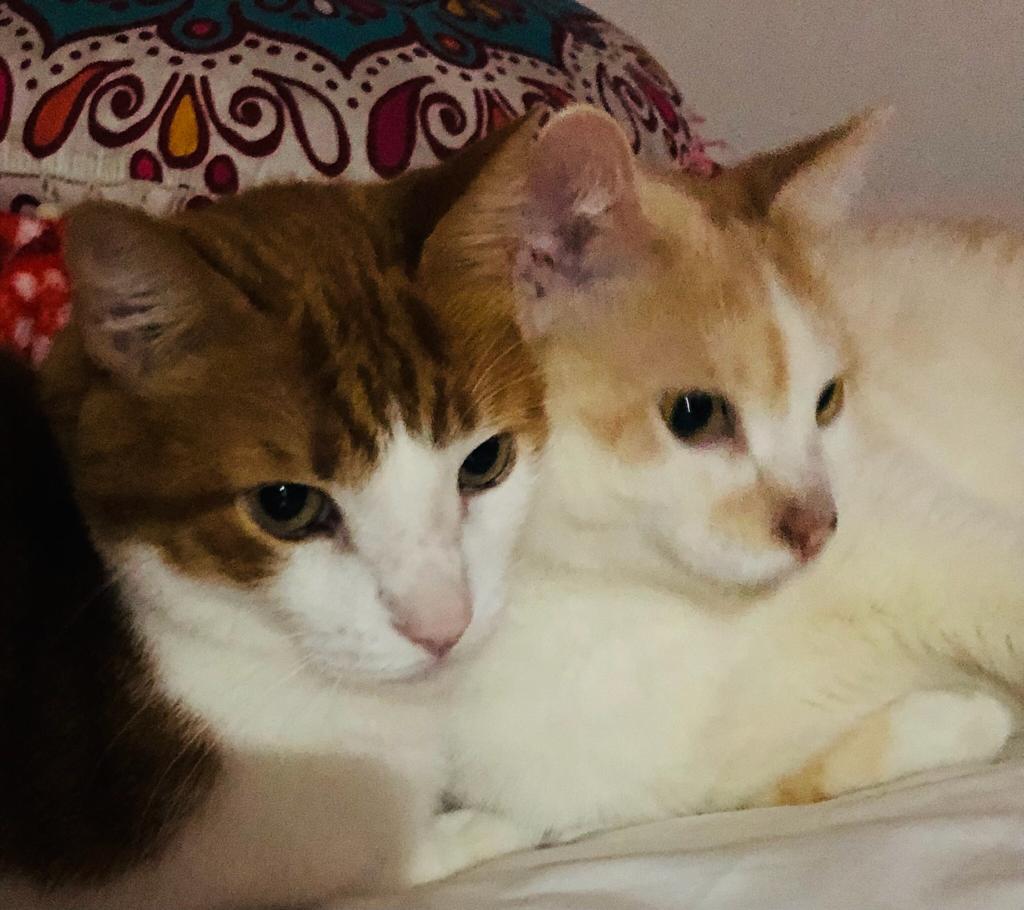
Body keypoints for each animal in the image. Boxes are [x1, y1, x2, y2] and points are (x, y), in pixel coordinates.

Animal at [414, 105, 1024, 853]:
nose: (820, 525)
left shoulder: (932, 536)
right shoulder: (651, 790)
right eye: (695, 414)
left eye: (827, 401)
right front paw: (966, 718)